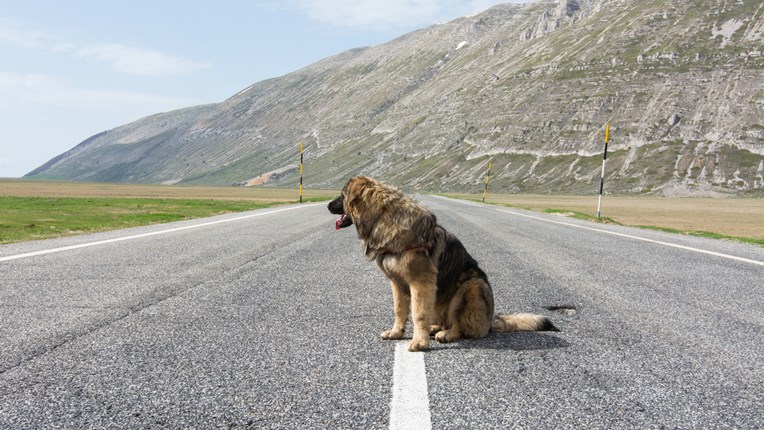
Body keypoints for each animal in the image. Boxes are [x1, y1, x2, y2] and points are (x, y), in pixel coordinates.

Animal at [326, 176, 556, 352]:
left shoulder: (420, 282)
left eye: (342, 195)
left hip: (470, 287)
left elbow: (418, 313)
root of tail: (489, 321)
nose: (328, 205)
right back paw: (434, 327)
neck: (382, 218)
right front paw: (396, 333)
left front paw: (419, 343)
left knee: (462, 327)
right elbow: (399, 310)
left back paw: (446, 333)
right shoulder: (397, 283)